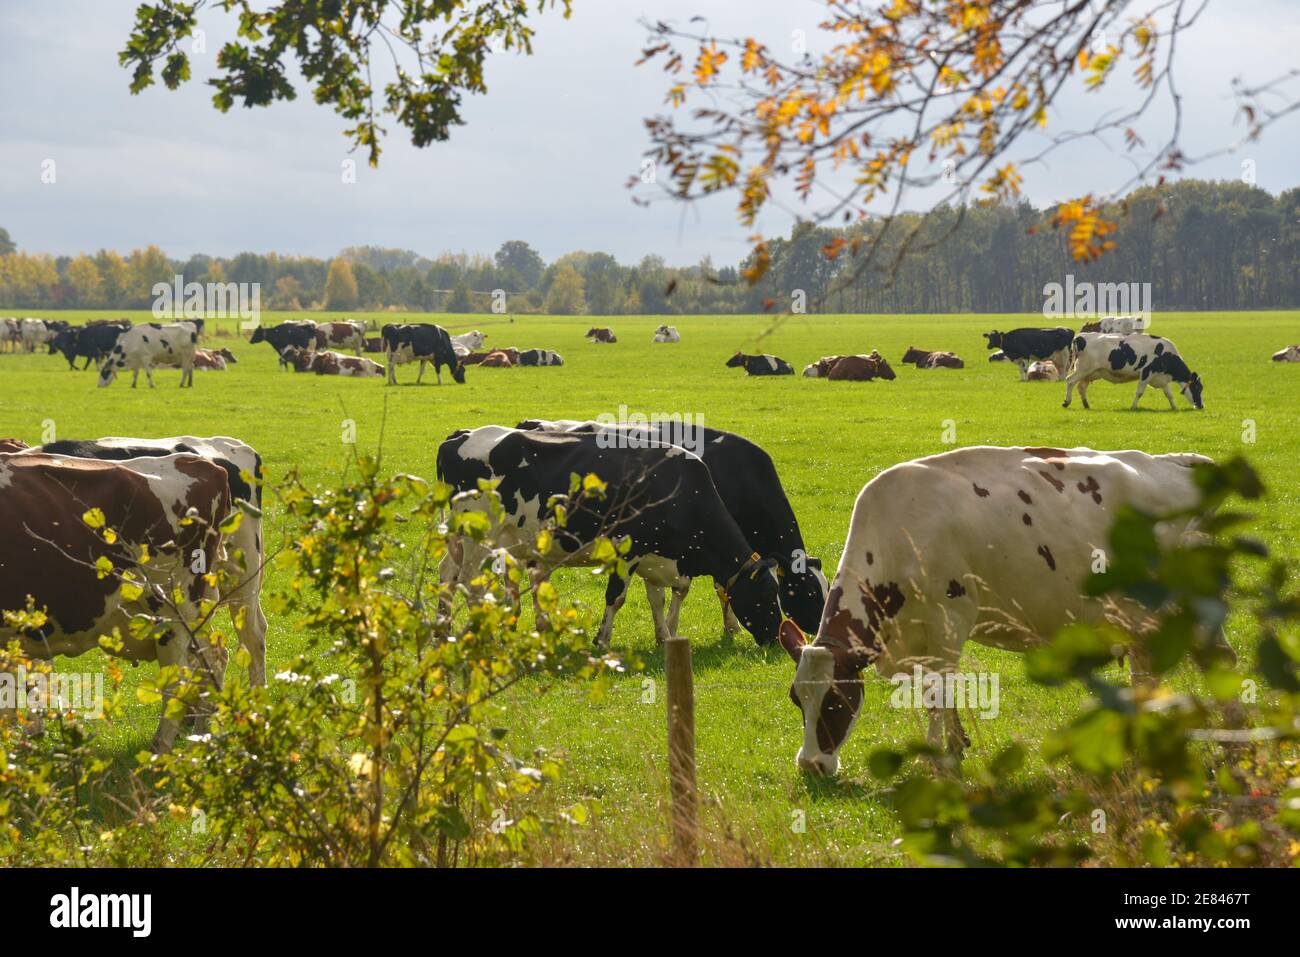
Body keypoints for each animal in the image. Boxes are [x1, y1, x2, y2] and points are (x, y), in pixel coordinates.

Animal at [0, 452, 234, 751]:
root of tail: (195, 461)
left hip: (174, 611)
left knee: (178, 681)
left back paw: (160, 749)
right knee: (213, 659)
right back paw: (202, 736)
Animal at [437, 426, 785, 649]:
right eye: (768, 595)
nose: (776, 639)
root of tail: (459, 436)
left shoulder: (655, 556)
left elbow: (659, 598)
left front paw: (664, 637)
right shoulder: (626, 550)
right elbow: (616, 597)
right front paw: (602, 640)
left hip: (469, 538)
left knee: (449, 575)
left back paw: (445, 629)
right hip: (477, 537)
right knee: (466, 582)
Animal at [777, 446, 1234, 775]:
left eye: (836, 702)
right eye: (797, 699)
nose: (811, 765)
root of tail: (1174, 462)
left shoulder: (949, 622)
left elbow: (938, 693)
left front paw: (936, 759)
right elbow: (939, 692)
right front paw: (956, 745)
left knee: (1220, 661)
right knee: (1148, 672)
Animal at [1064, 333, 1203, 411]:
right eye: (1197, 388)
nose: (1201, 406)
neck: (1166, 354)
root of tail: (1081, 336)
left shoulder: (1161, 378)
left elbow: (1169, 394)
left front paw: (1174, 408)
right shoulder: (1146, 373)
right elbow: (1139, 392)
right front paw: (1133, 407)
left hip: (1090, 373)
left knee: (1081, 387)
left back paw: (1086, 405)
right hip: (1083, 369)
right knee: (1070, 381)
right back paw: (1067, 402)